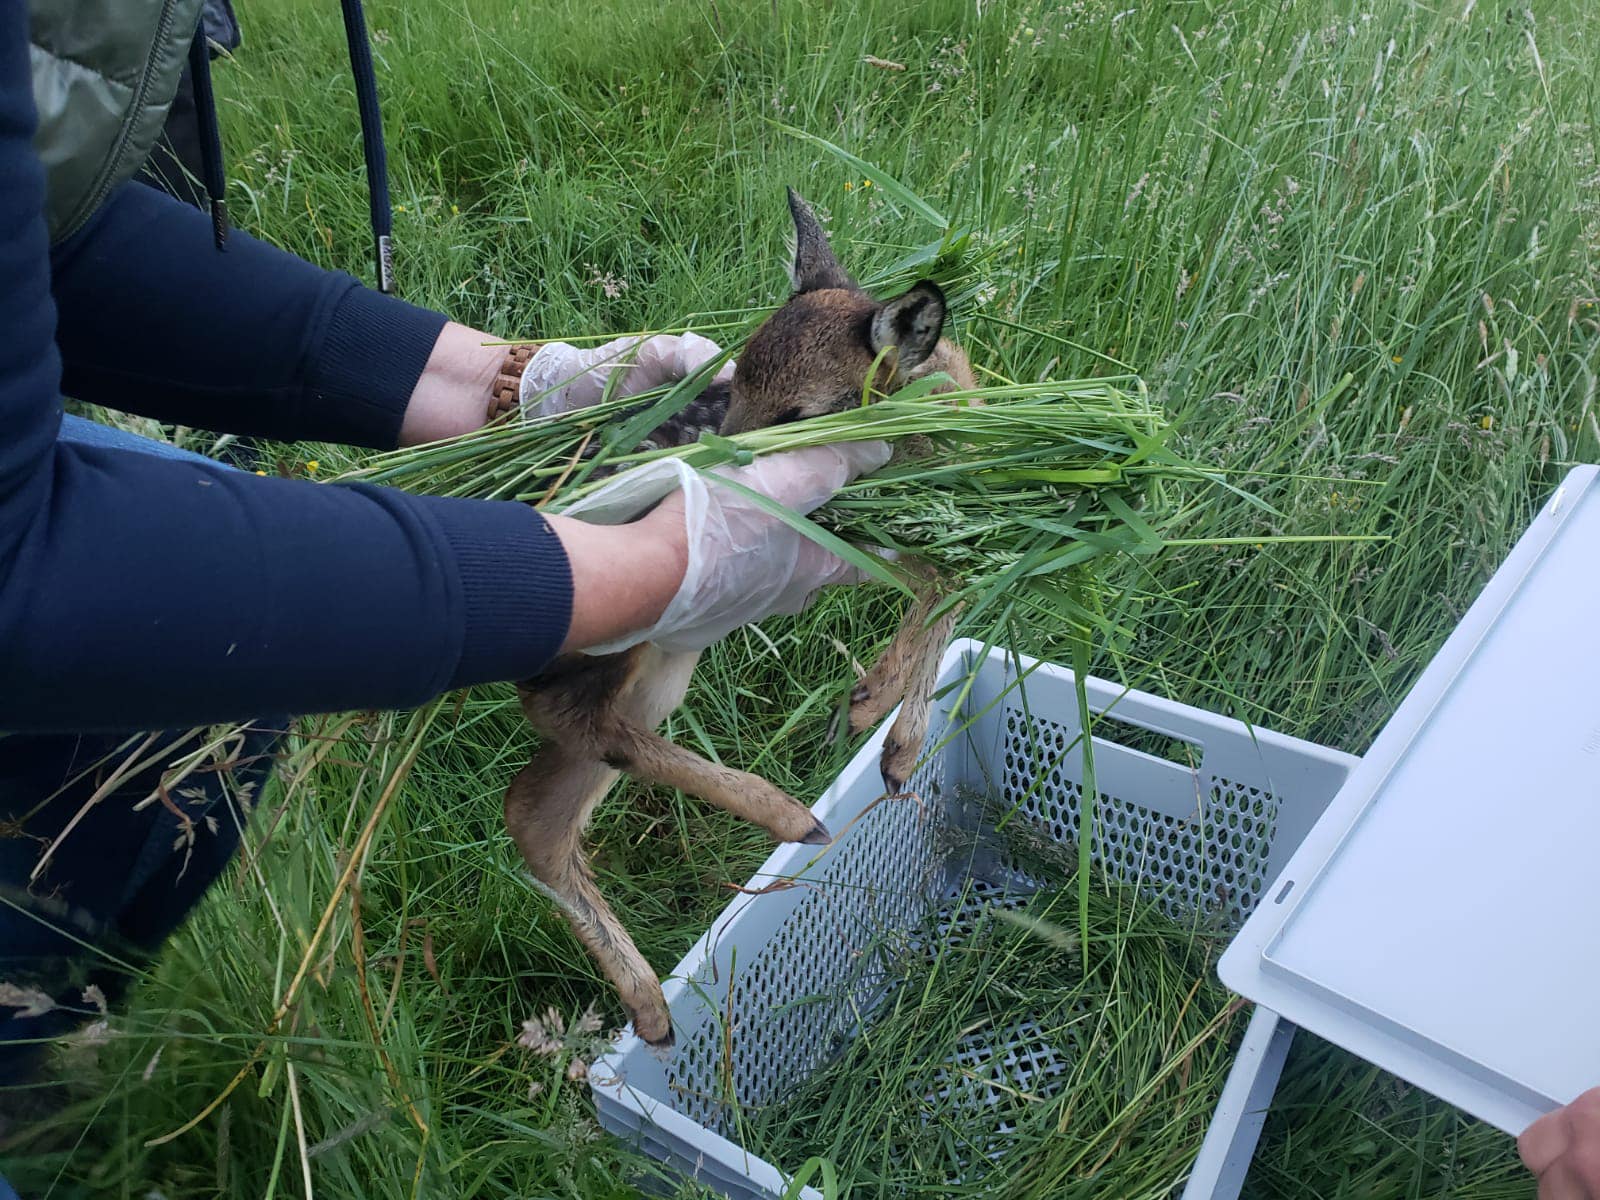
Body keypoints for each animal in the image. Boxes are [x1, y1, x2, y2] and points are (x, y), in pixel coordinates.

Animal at [504, 189, 975, 1047]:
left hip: (661, 659)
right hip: (633, 631)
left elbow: (950, 584)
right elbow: (946, 586)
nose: (717, 452)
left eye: (796, 410)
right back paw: (790, 815)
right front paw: (889, 737)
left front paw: (878, 715)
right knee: (568, 724)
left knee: (537, 802)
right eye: (738, 386)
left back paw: (651, 1009)